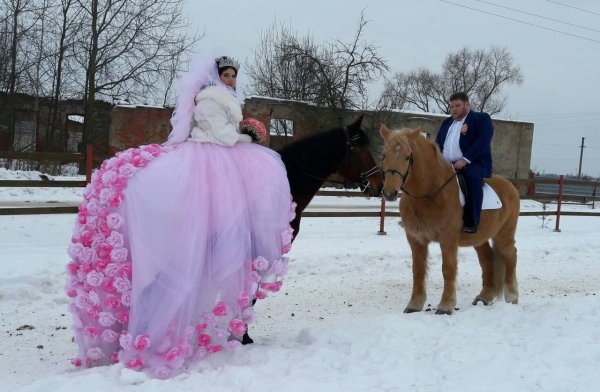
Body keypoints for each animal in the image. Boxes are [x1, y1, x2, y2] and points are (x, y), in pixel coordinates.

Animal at [382, 125, 516, 316]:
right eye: (384, 155)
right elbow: (418, 270)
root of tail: (509, 185)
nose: (389, 193)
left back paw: (512, 298)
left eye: (407, 156)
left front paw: (446, 306)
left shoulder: (448, 239)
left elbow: (448, 269)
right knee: (487, 259)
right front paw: (414, 304)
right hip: (479, 238)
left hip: (504, 235)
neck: (428, 193)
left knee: (511, 256)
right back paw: (484, 297)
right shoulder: (416, 239)